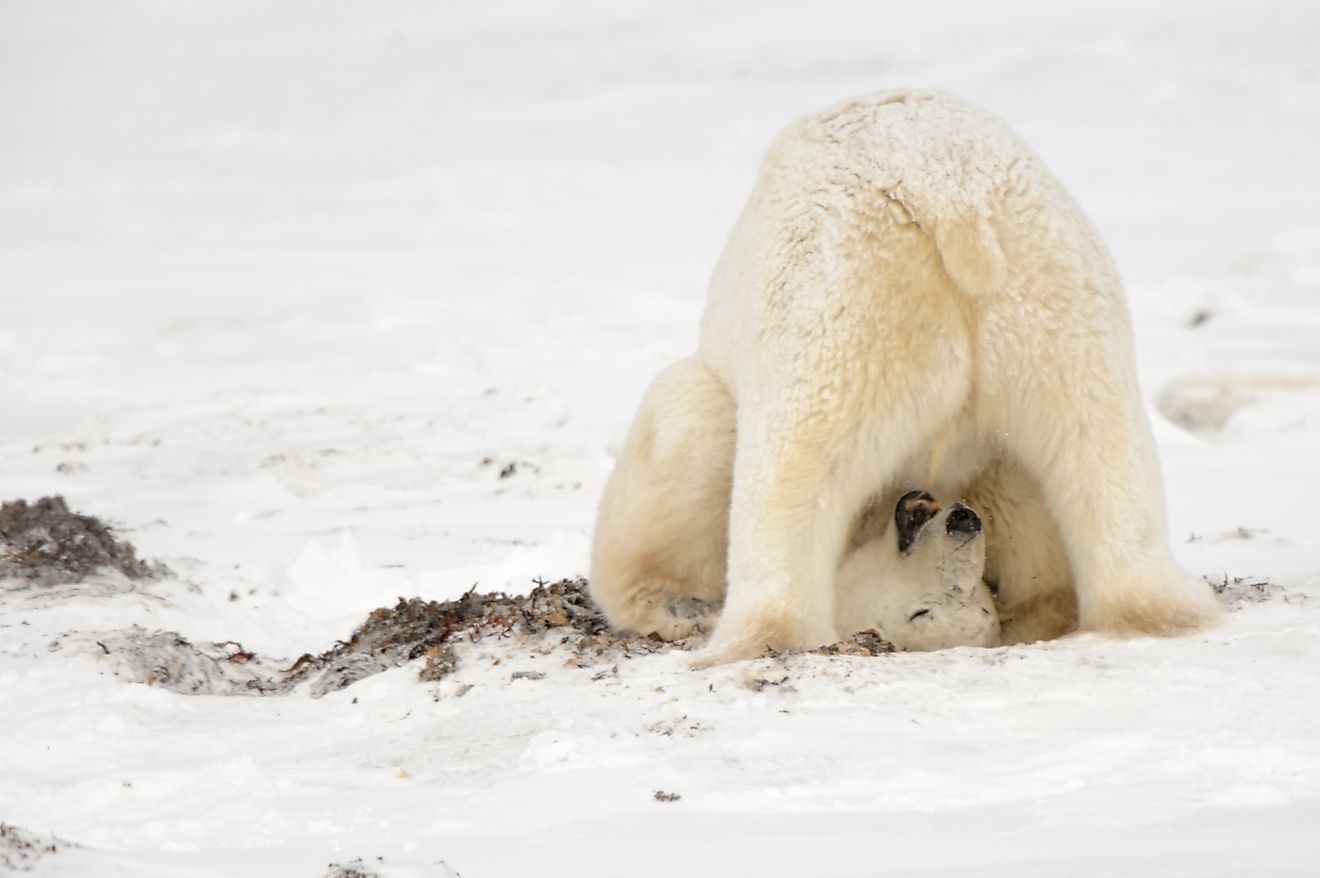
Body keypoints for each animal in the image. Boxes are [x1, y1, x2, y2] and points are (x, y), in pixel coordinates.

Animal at [594, 90, 1219, 665]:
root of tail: (947, 196)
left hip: (845, 307)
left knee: (751, 447)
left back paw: (728, 626)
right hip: (1058, 309)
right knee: (1101, 455)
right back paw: (1153, 607)